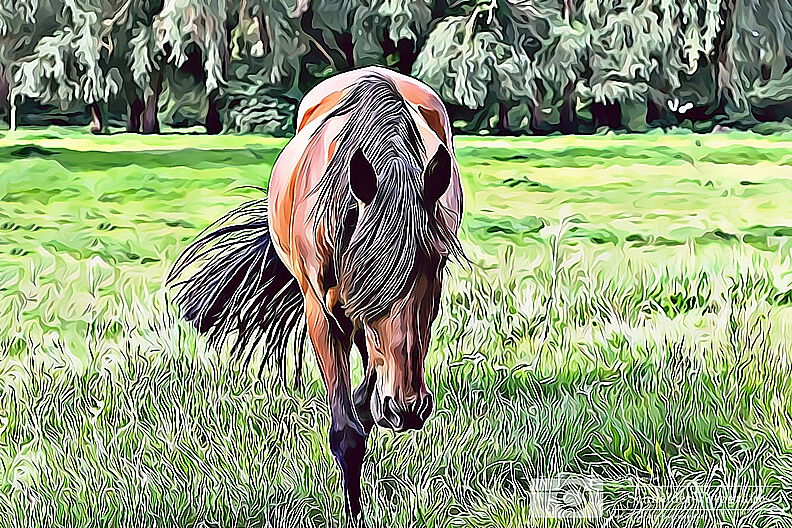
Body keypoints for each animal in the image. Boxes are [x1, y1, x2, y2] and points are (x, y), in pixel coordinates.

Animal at [167, 66, 464, 525]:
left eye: (437, 265)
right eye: (367, 268)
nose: (407, 408)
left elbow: (368, 392)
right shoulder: (323, 315)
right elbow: (347, 433)